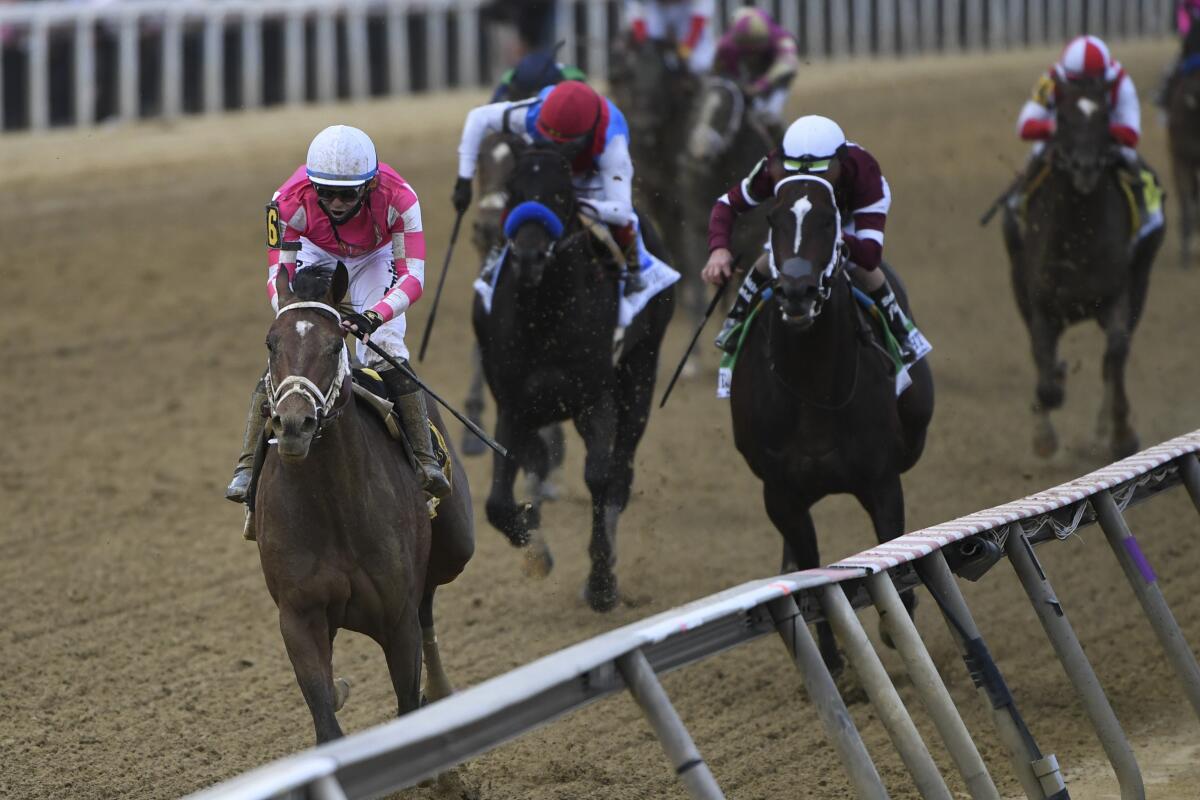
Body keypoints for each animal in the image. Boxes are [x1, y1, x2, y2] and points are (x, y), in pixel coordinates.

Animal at [254, 262, 472, 743]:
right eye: (271, 343)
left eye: (335, 343)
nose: (293, 424)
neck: (332, 506)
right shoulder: (299, 617)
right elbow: (326, 721)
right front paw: (336, 695)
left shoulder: (397, 619)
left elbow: (408, 703)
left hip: (455, 546)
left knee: (428, 599)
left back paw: (441, 688)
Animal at [468, 143, 676, 609]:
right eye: (515, 190)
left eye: (562, 193)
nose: (529, 255)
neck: (546, 315)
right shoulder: (514, 404)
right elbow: (497, 499)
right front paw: (533, 544)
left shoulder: (594, 399)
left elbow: (599, 477)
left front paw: (601, 583)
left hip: (641, 372)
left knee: (621, 469)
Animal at [724, 175, 931, 676]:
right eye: (774, 218)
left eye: (827, 219)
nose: (796, 291)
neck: (811, 388)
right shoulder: (780, 493)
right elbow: (810, 575)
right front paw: (832, 660)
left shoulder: (882, 480)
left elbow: (894, 555)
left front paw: (895, 629)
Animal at [1003, 79, 1161, 462]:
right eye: (1062, 116)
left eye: (1105, 115)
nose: (1085, 167)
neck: (1077, 239)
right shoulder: (1040, 304)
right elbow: (1044, 369)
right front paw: (1044, 434)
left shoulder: (1118, 296)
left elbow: (1115, 353)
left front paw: (1121, 433)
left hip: (1141, 282)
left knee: (1113, 360)